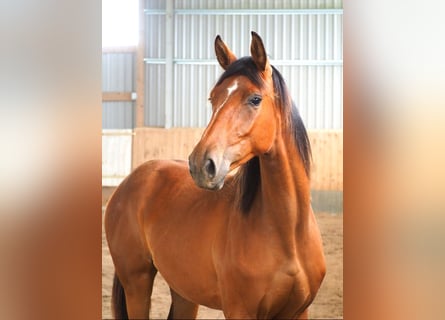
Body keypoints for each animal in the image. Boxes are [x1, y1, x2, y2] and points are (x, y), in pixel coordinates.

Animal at [105, 30, 324, 320]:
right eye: (213, 98)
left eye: (255, 99)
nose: (201, 164)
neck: (289, 234)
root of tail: (129, 183)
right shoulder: (240, 312)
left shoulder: (298, 312)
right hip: (137, 284)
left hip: (184, 293)